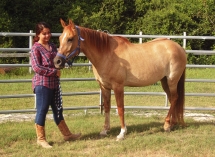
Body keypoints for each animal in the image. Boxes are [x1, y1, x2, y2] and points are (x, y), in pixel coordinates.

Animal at [53, 18, 186, 141]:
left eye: (70, 38)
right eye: (60, 38)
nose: (57, 61)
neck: (107, 54)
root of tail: (179, 48)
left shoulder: (118, 86)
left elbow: (120, 108)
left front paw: (122, 133)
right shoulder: (104, 87)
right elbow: (107, 107)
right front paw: (105, 130)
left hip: (172, 80)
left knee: (174, 98)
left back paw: (167, 125)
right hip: (164, 81)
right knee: (172, 99)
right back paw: (171, 124)